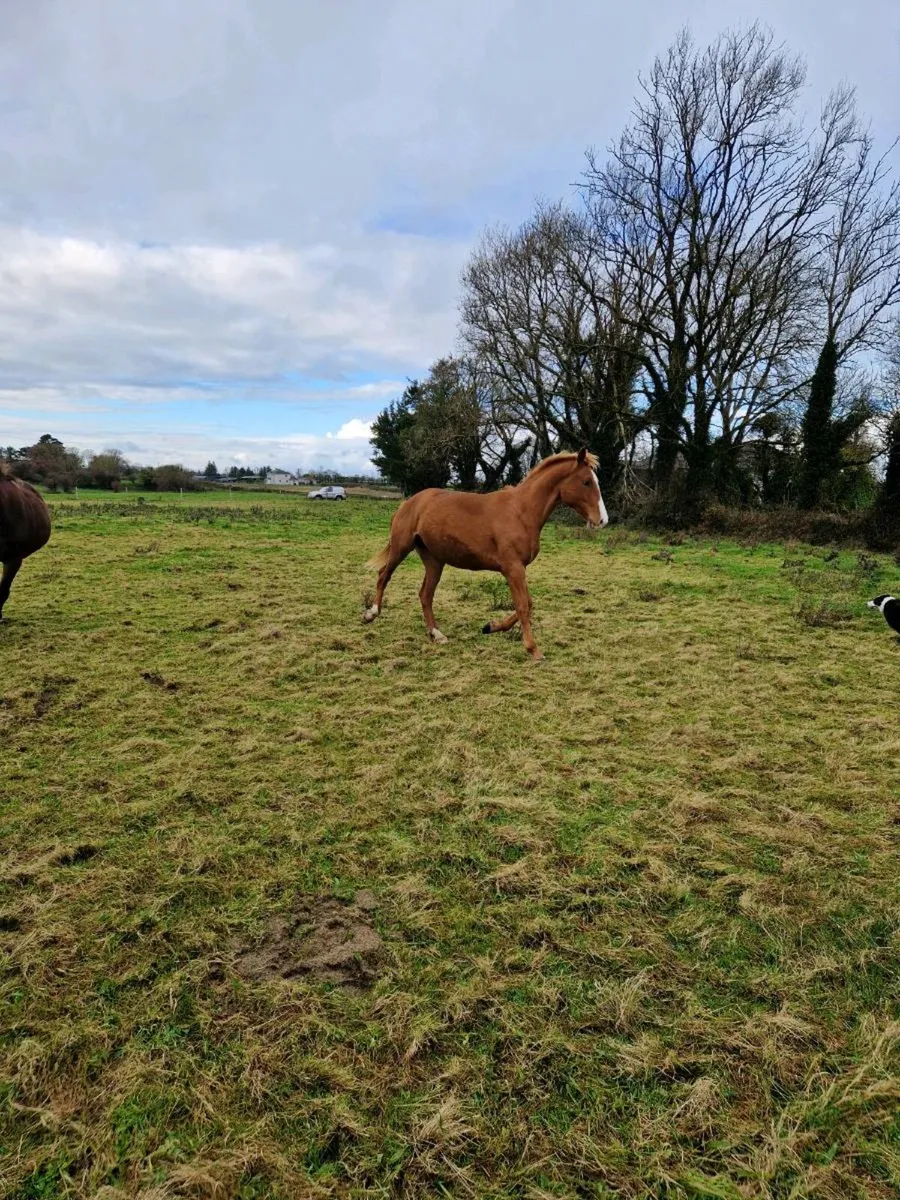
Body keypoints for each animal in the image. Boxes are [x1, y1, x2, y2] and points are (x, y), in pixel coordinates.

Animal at [363, 448, 608, 660]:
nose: (602, 520)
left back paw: (437, 634)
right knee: (384, 575)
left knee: (425, 594)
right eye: (586, 482)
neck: (521, 512)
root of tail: (410, 502)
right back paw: (371, 614)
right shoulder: (513, 568)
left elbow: (527, 603)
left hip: (434, 560)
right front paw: (534, 650)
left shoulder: (517, 569)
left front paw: (491, 627)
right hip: (401, 547)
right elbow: (523, 605)